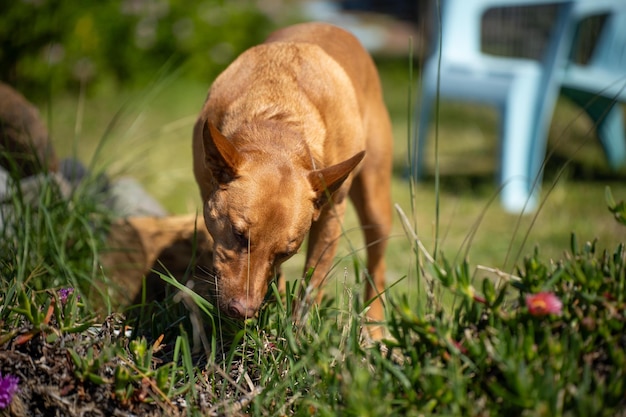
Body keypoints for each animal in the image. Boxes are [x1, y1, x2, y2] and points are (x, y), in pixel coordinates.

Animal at [193, 22, 392, 334]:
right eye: (238, 235)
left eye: (286, 251)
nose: (242, 311)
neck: (277, 116)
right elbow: (276, 278)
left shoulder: (331, 215)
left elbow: (313, 281)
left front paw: (297, 332)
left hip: (376, 208)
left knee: (377, 266)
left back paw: (373, 328)